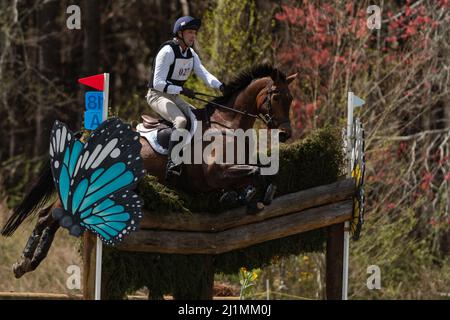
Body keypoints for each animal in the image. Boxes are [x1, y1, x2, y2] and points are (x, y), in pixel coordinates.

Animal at [1, 63, 298, 278]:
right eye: (276, 97)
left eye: (291, 98)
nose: (285, 134)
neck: (227, 125)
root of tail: (86, 137)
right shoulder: (215, 173)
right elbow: (255, 173)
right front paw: (253, 196)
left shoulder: (225, 175)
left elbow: (256, 176)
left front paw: (244, 196)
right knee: (46, 216)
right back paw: (24, 261)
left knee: (50, 217)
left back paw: (27, 263)